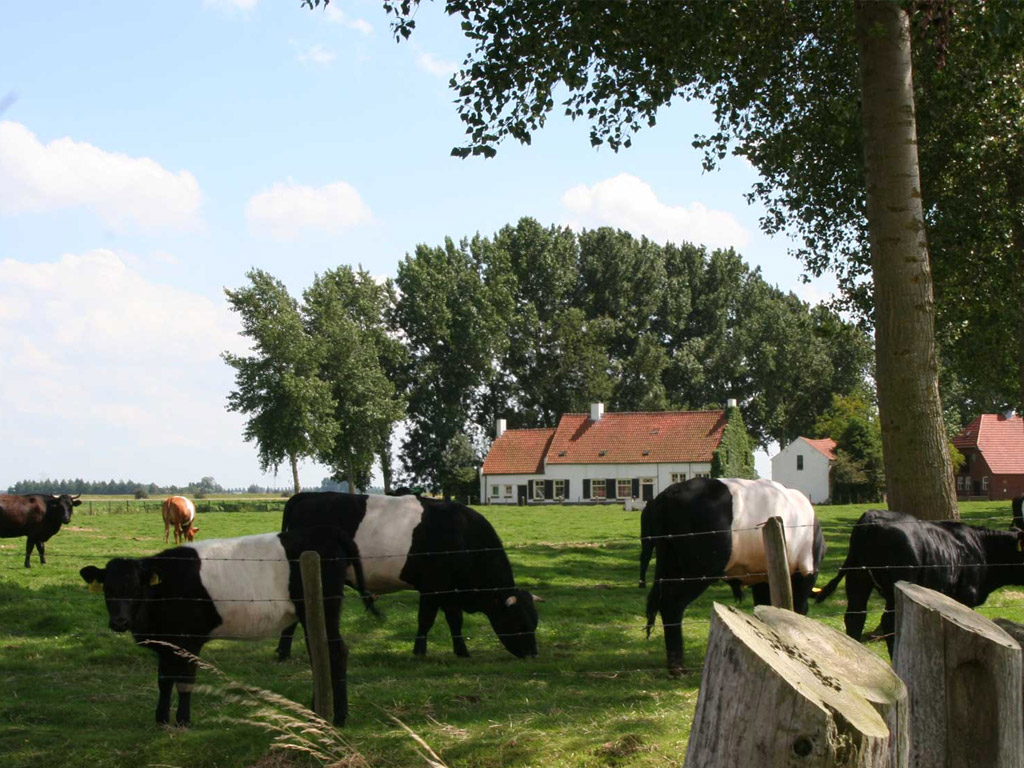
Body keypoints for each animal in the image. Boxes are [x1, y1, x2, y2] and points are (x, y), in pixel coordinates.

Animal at [80, 528, 368, 729]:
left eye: (135, 589)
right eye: (107, 589)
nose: (119, 622)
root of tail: (328, 535)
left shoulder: (189, 640)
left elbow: (185, 681)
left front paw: (183, 721)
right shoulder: (166, 644)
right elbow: (164, 681)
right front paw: (161, 720)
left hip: (324, 610)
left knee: (336, 652)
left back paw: (338, 717)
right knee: (319, 654)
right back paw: (316, 711)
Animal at [274, 493, 544, 663]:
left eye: (535, 623)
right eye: (520, 623)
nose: (533, 654)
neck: (464, 538)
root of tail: (306, 495)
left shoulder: (450, 591)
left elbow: (454, 622)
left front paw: (461, 651)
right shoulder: (433, 587)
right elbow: (426, 620)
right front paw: (419, 652)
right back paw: (283, 653)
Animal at [643, 481, 827, 671]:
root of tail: (668, 493)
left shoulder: (762, 580)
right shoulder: (806, 572)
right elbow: (798, 610)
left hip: (669, 565)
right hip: (699, 571)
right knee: (672, 604)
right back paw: (677, 665)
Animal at [819, 507, 1024, 659]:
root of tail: (873, 515)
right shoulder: (965, 596)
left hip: (858, 578)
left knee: (855, 617)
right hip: (898, 581)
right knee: (888, 621)